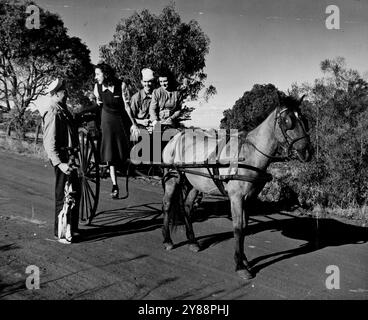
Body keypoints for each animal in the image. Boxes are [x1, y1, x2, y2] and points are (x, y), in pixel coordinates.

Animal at [160, 94, 312, 278]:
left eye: (304, 119)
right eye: (288, 121)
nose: (307, 152)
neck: (248, 155)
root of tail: (176, 138)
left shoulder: (249, 199)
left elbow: (244, 228)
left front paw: (244, 260)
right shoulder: (236, 198)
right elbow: (238, 228)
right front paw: (240, 265)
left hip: (194, 183)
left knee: (188, 208)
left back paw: (193, 241)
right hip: (172, 178)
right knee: (167, 205)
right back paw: (167, 240)